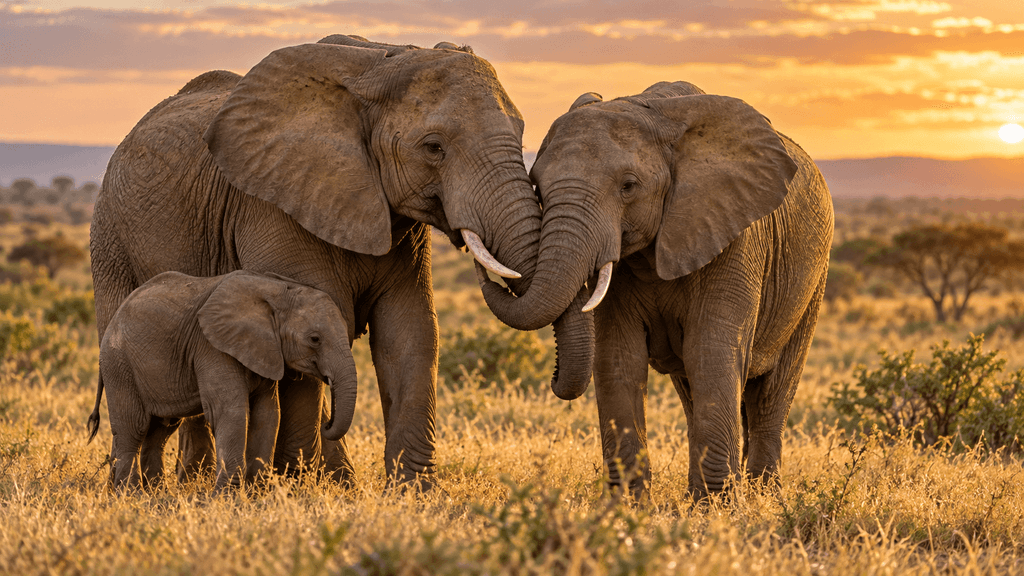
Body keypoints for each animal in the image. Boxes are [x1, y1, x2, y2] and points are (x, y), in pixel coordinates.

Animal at [87, 270, 356, 492]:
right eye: (314, 339)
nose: (327, 423)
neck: (277, 290)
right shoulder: (211, 347)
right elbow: (231, 412)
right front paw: (228, 496)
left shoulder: (264, 350)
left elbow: (267, 414)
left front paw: (256, 492)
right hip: (119, 365)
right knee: (133, 428)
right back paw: (130, 494)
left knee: (159, 431)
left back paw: (156, 493)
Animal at [478, 81, 834, 499]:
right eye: (537, 186)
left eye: (629, 187)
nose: (553, 374)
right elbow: (618, 358)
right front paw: (627, 506)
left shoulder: (736, 238)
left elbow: (711, 353)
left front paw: (717, 508)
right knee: (694, 392)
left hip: (813, 281)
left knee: (770, 393)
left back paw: (763, 495)